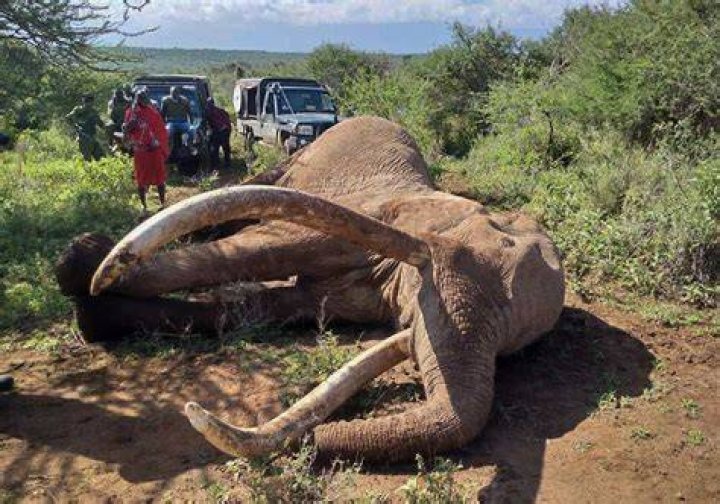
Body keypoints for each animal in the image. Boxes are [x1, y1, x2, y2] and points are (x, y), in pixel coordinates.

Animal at [55, 116, 565, 463]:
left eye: (513, 348)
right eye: (496, 240)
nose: (313, 443)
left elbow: (269, 306)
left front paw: (94, 314)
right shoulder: (367, 213)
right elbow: (264, 248)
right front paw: (85, 269)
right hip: (304, 155)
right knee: (255, 189)